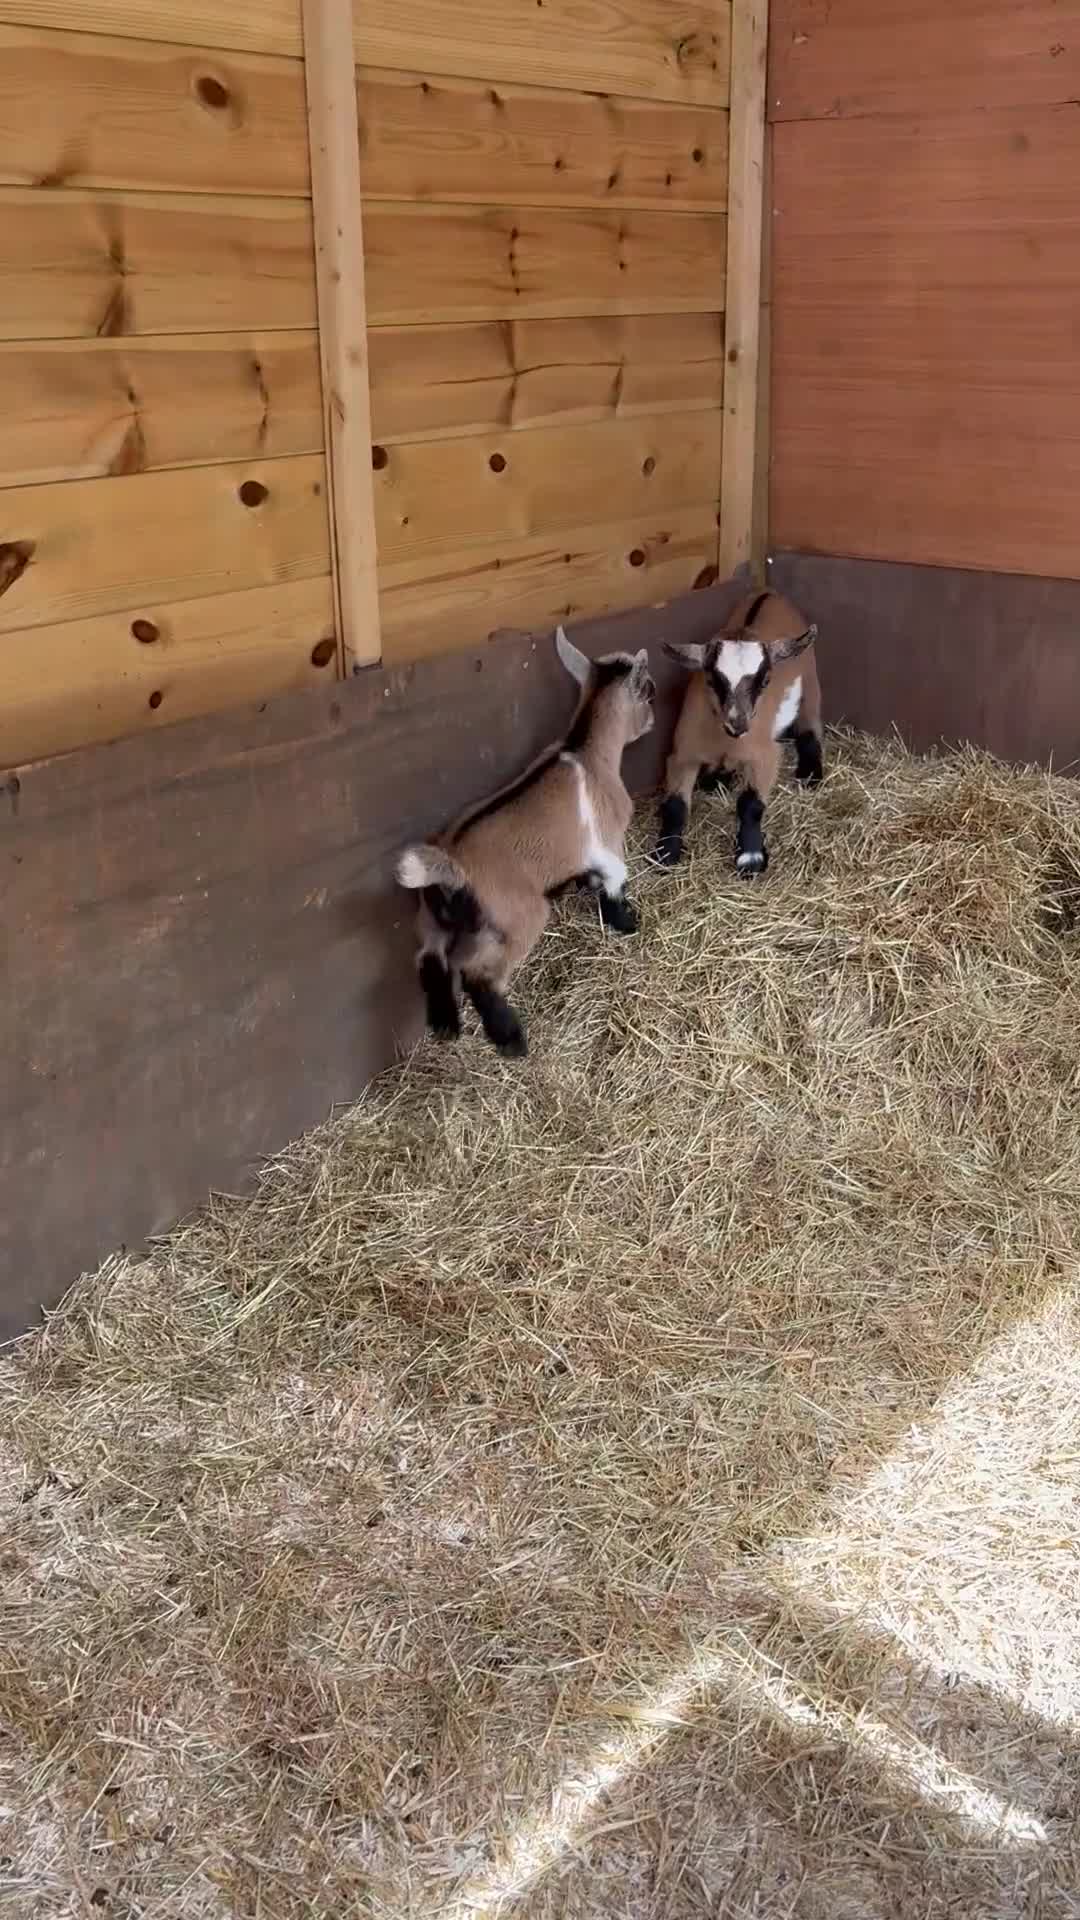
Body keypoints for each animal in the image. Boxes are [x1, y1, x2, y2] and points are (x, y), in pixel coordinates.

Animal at [397, 629, 655, 1057]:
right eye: (648, 690)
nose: (652, 719)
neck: (586, 750)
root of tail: (453, 863)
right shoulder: (607, 840)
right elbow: (616, 878)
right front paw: (625, 920)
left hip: (431, 916)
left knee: (430, 958)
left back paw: (446, 1023)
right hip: (520, 918)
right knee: (477, 973)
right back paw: (511, 1039)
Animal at [655, 589, 822, 876]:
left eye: (765, 681)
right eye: (712, 681)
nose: (738, 723)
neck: (726, 742)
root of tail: (769, 593)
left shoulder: (765, 755)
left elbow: (750, 804)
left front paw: (750, 857)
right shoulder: (683, 753)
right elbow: (675, 805)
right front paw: (666, 852)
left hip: (810, 681)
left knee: (811, 725)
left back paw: (811, 772)